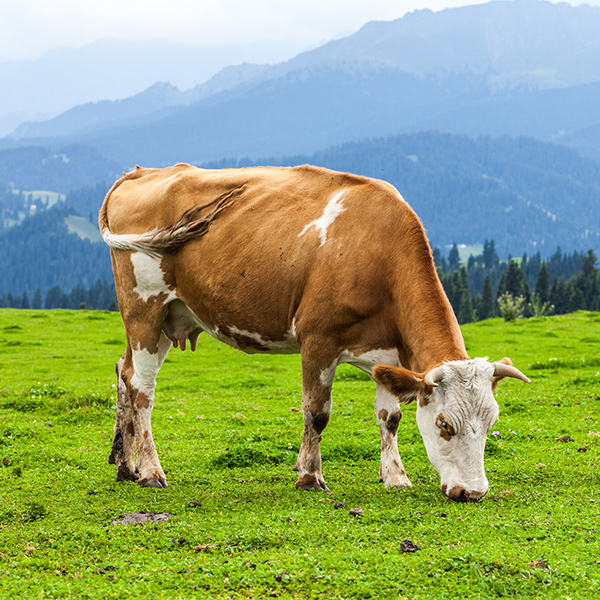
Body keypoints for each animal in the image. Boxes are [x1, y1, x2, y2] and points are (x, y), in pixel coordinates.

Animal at [99, 163, 528, 502]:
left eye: (491, 425)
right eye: (444, 425)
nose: (472, 492)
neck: (377, 252)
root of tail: (141, 173)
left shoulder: (388, 355)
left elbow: (389, 416)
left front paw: (395, 477)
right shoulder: (318, 339)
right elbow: (317, 412)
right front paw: (309, 476)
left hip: (170, 317)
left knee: (123, 372)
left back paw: (124, 466)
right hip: (144, 307)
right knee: (142, 388)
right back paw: (151, 472)